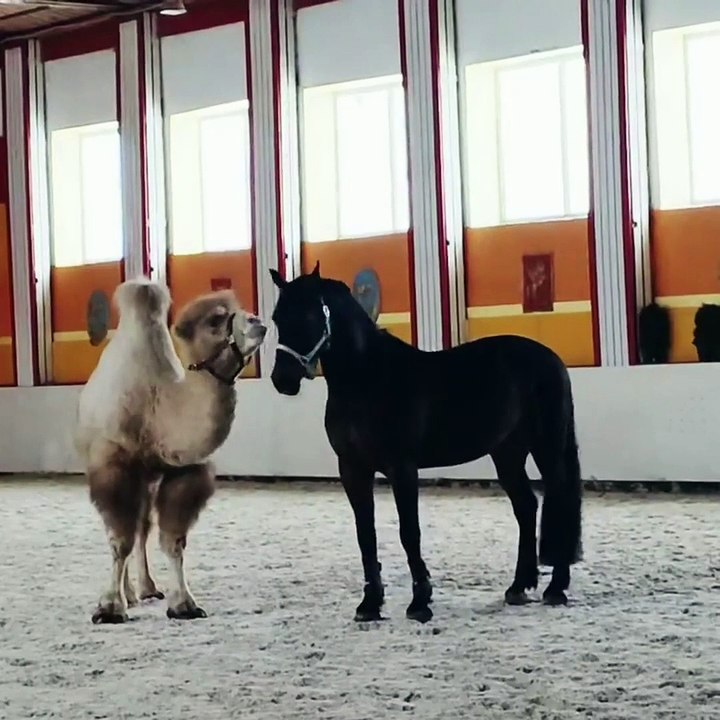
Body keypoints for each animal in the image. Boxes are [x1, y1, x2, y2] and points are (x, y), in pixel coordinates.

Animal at [74, 277, 267, 624]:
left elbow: (173, 541)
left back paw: (147, 588)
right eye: (216, 320)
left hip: (148, 479)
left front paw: (183, 604)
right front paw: (109, 607)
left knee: (142, 527)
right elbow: (119, 540)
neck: (158, 408)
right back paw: (129, 594)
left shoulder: (182, 471)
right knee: (127, 528)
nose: (258, 322)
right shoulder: (114, 466)